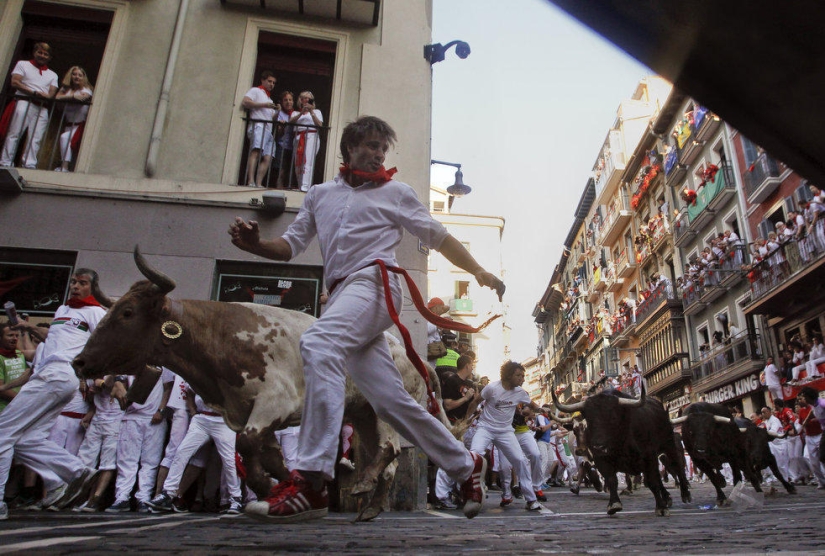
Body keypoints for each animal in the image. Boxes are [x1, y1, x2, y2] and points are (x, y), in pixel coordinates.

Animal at [71, 248, 448, 520]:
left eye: (127, 313)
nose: (80, 362)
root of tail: (412, 356)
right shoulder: (247, 412)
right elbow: (270, 457)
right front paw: (290, 488)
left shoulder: (274, 403)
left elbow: (249, 447)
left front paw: (270, 488)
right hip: (363, 414)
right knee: (389, 462)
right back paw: (372, 505)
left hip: (387, 411)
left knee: (390, 451)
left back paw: (364, 484)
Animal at [552, 388, 688, 516]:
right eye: (590, 420)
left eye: (613, 418)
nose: (598, 447)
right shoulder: (600, 459)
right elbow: (611, 479)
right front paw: (614, 503)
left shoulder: (648, 456)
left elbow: (653, 481)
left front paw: (661, 507)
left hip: (669, 446)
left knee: (677, 467)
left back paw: (685, 493)